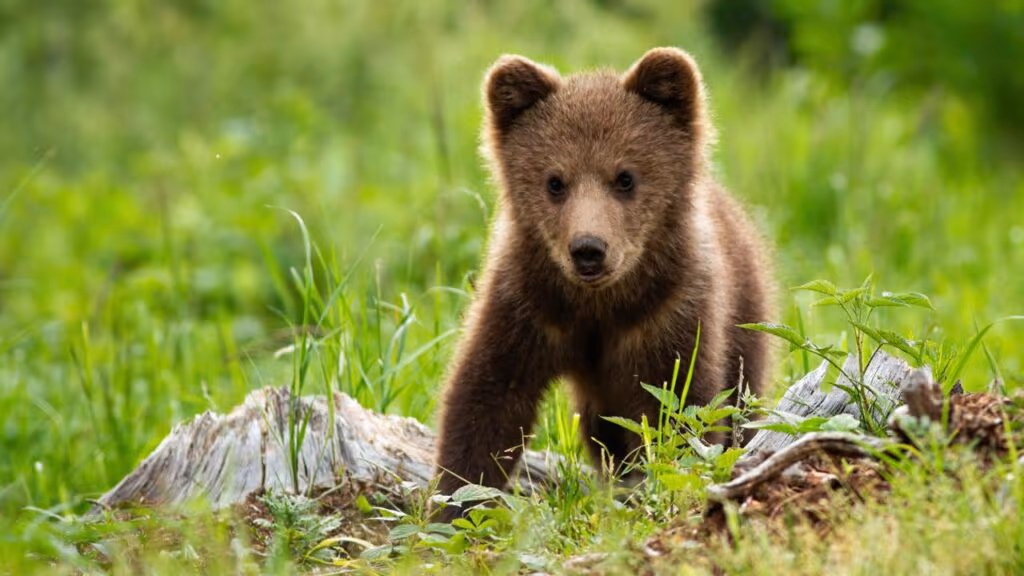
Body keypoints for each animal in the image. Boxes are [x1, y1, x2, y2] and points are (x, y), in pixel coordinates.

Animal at [434, 47, 775, 511]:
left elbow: (681, 404)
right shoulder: (527, 305)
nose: (588, 249)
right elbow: (486, 397)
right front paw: (456, 499)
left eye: (625, 177)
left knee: (741, 399)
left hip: (745, 314)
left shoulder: (669, 313)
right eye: (555, 181)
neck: (599, 304)